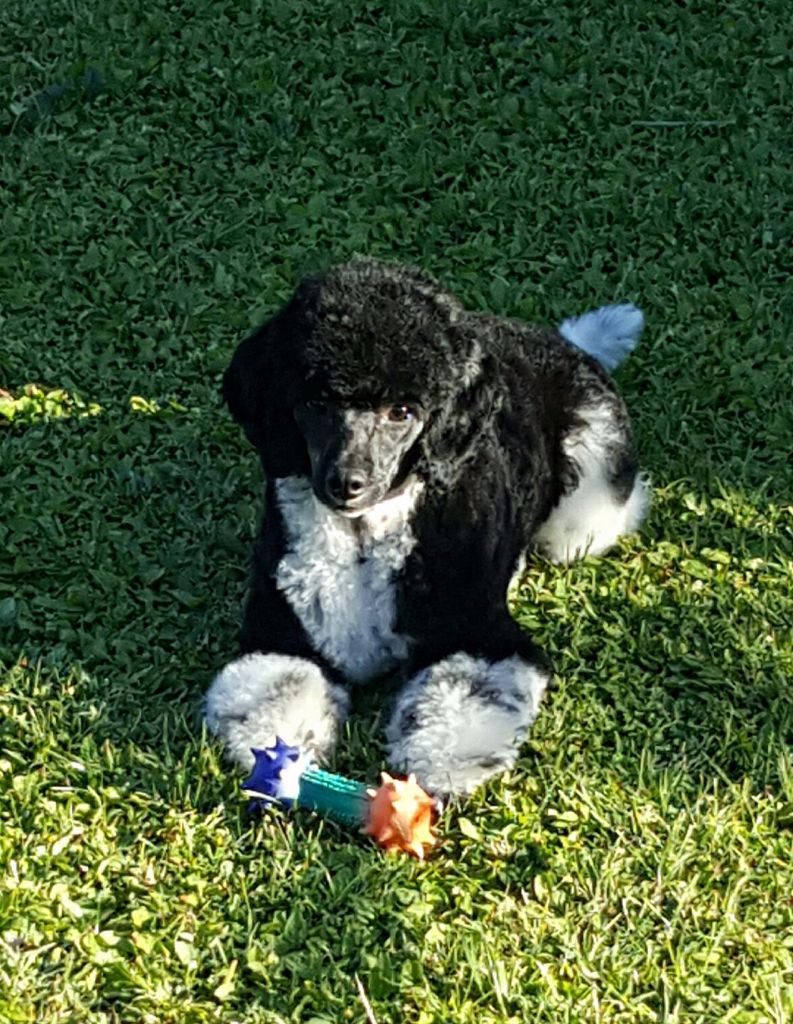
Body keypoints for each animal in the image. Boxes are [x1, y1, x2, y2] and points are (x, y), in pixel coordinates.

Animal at [205, 260, 648, 794]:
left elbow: (465, 695)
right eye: (314, 403)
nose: (346, 483)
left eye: (402, 411)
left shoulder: (481, 636)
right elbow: (277, 689)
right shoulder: (280, 635)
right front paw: (280, 759)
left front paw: (437, 766)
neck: (365, 539)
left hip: (589, 500)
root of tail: (563, 343)